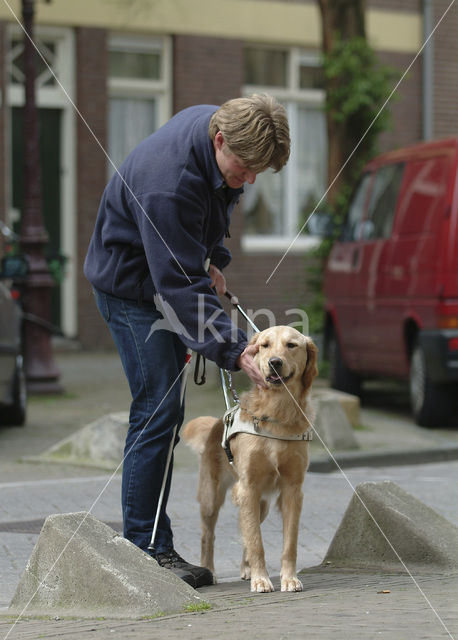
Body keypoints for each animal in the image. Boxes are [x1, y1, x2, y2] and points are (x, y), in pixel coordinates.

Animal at [182, 328, 318, 592]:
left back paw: (246, 569)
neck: (278, 412)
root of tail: (216, 423)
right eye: (265, 345)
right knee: (208, 536)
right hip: (212, 497)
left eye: (291, 345)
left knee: (246, 529)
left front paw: (289, 578)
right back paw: (210, 570)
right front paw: (261, 580)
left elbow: (287, 543)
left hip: (260, 503)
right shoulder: (248, 487)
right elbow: (256, 541)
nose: (274, 362)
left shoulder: (292, 490)